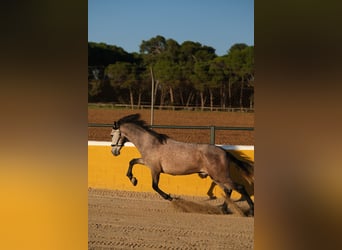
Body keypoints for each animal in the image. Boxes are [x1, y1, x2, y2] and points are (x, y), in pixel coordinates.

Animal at [109, 114, 254, 216]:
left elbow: (154, 186)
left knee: (239, 187)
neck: (150, 143)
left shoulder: (155, 169)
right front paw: (133, 180)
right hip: (216, 177)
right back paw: (222, 210)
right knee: (228, 190)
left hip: (220, 175)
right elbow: (132, 161)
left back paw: (250, 210)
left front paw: (170, 197)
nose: (114, 151)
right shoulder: (147, 163)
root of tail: (224, 151)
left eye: (111, 134)